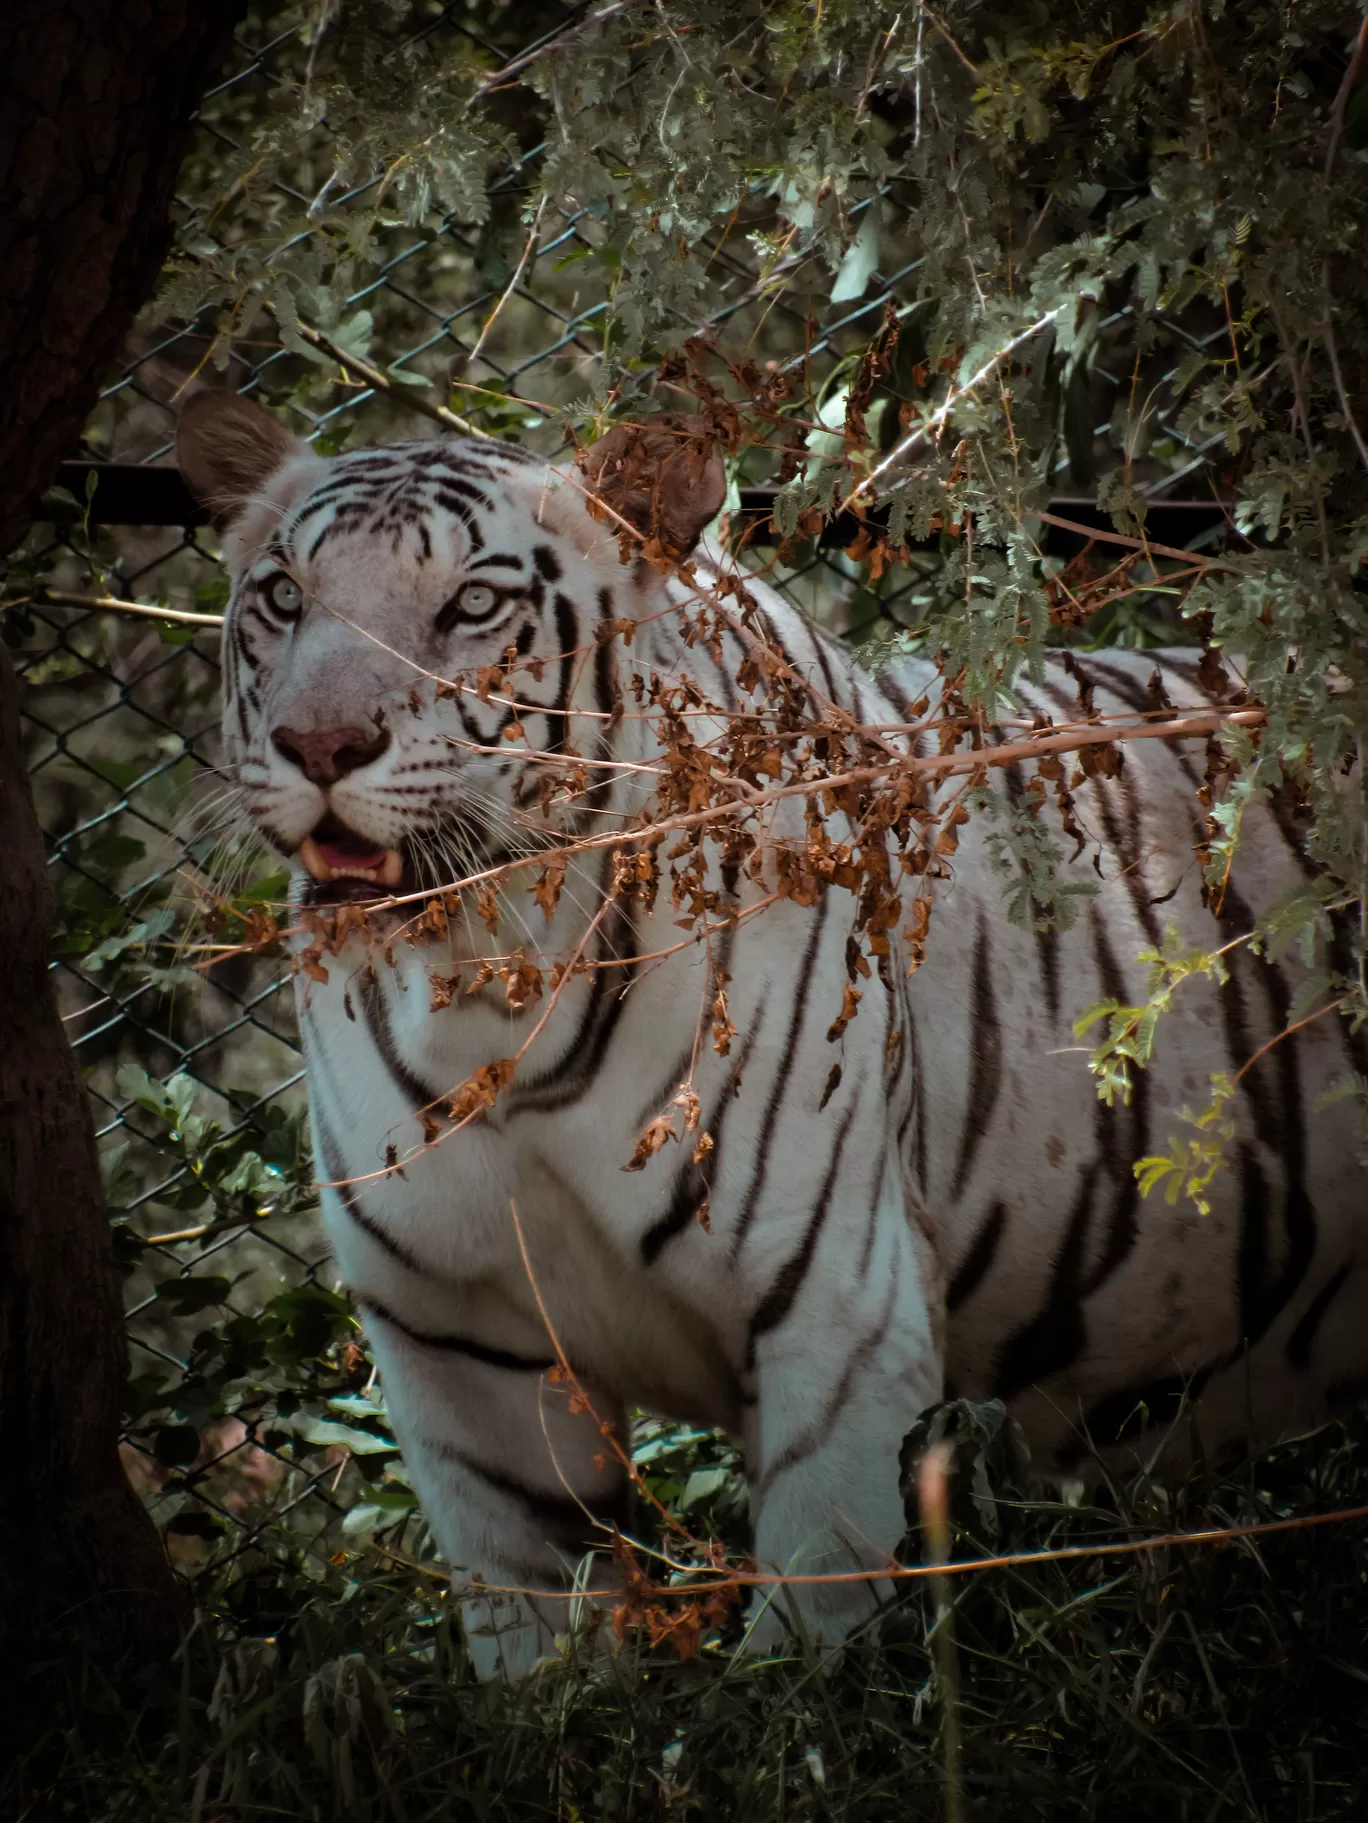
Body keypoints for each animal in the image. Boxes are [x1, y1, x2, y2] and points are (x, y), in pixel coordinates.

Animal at [182, 391, 1368, 1669]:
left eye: (473, 606)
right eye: (283, 596)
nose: (319, 745)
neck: (482, 984)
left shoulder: (837, 1303)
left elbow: (817, 1629)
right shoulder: (456, 1341)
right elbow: (530, 1628)